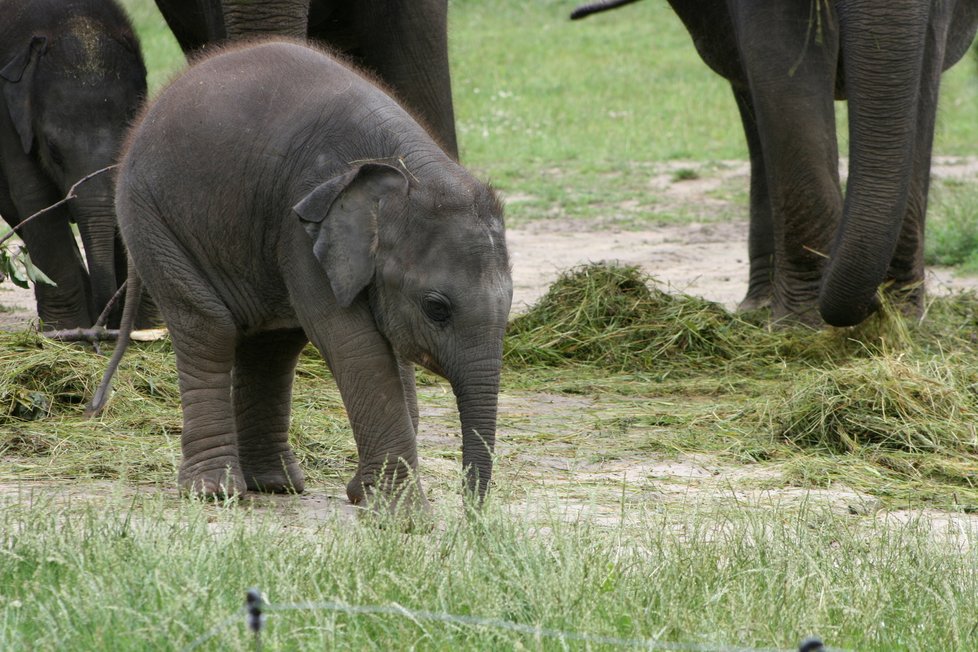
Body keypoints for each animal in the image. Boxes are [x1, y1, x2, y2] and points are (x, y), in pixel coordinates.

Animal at [93, 40, 510, 512]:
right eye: (437, 308)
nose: (471, 512)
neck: (409, 174)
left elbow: (387, 350)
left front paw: (366, 496)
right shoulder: (301, 229)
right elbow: (356, 346)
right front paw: (403, 512)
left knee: (273, 344)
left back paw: (274, 485)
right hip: (152, 221)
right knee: (209, 329)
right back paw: (216, 492)